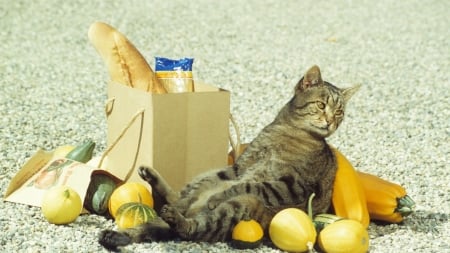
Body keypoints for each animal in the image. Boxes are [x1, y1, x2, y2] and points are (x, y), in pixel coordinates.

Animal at [98, 65, 358, 251]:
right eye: (321, 105)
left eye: (339, 112)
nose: (331, 122)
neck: (286, 131)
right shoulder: (238, 167)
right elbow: (233, 181)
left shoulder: (292, 186)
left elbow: (249, 185)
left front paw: (217, 196)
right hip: (204, 176)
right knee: (175, 202)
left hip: (237, 209)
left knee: (189, 229)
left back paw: (177, 216)